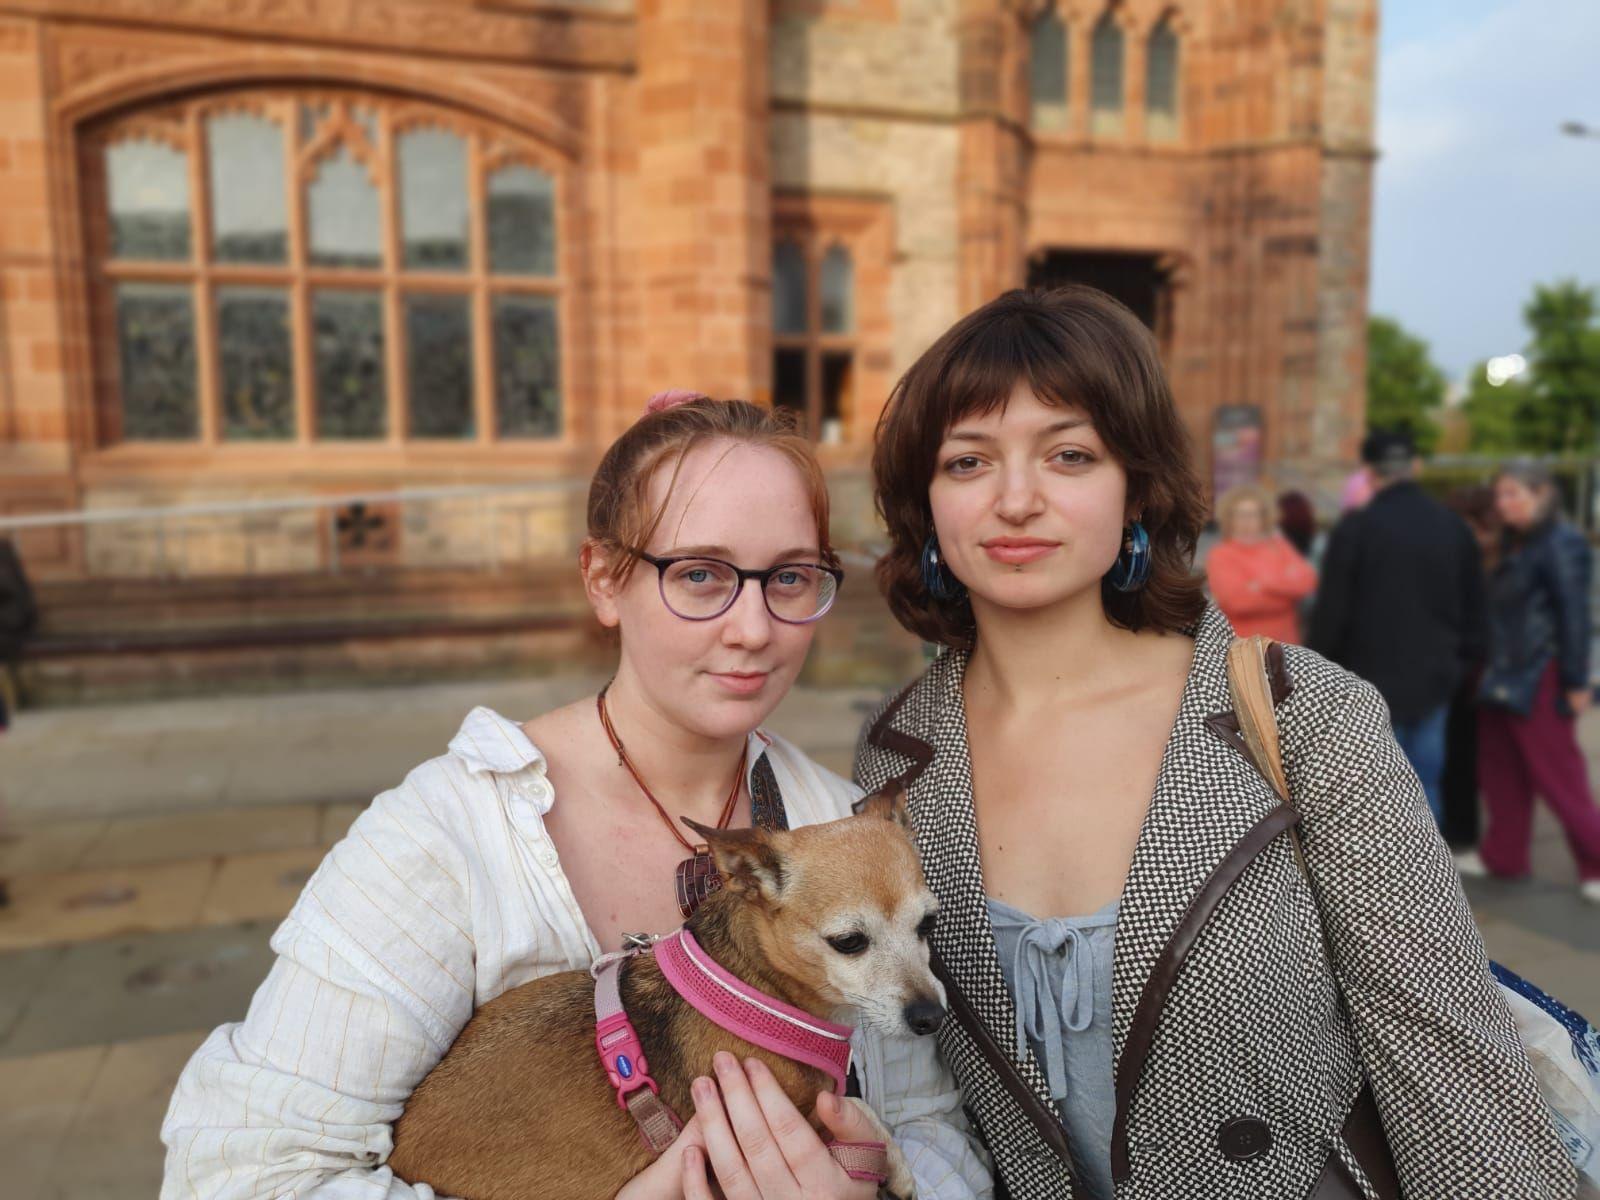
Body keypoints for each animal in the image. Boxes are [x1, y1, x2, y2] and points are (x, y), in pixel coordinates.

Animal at [387, 790, 940, 1200]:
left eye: (929, 924)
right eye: (849, 942)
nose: (931, 1016)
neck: (756, 989)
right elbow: (863, 1114)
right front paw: (896, 1165)